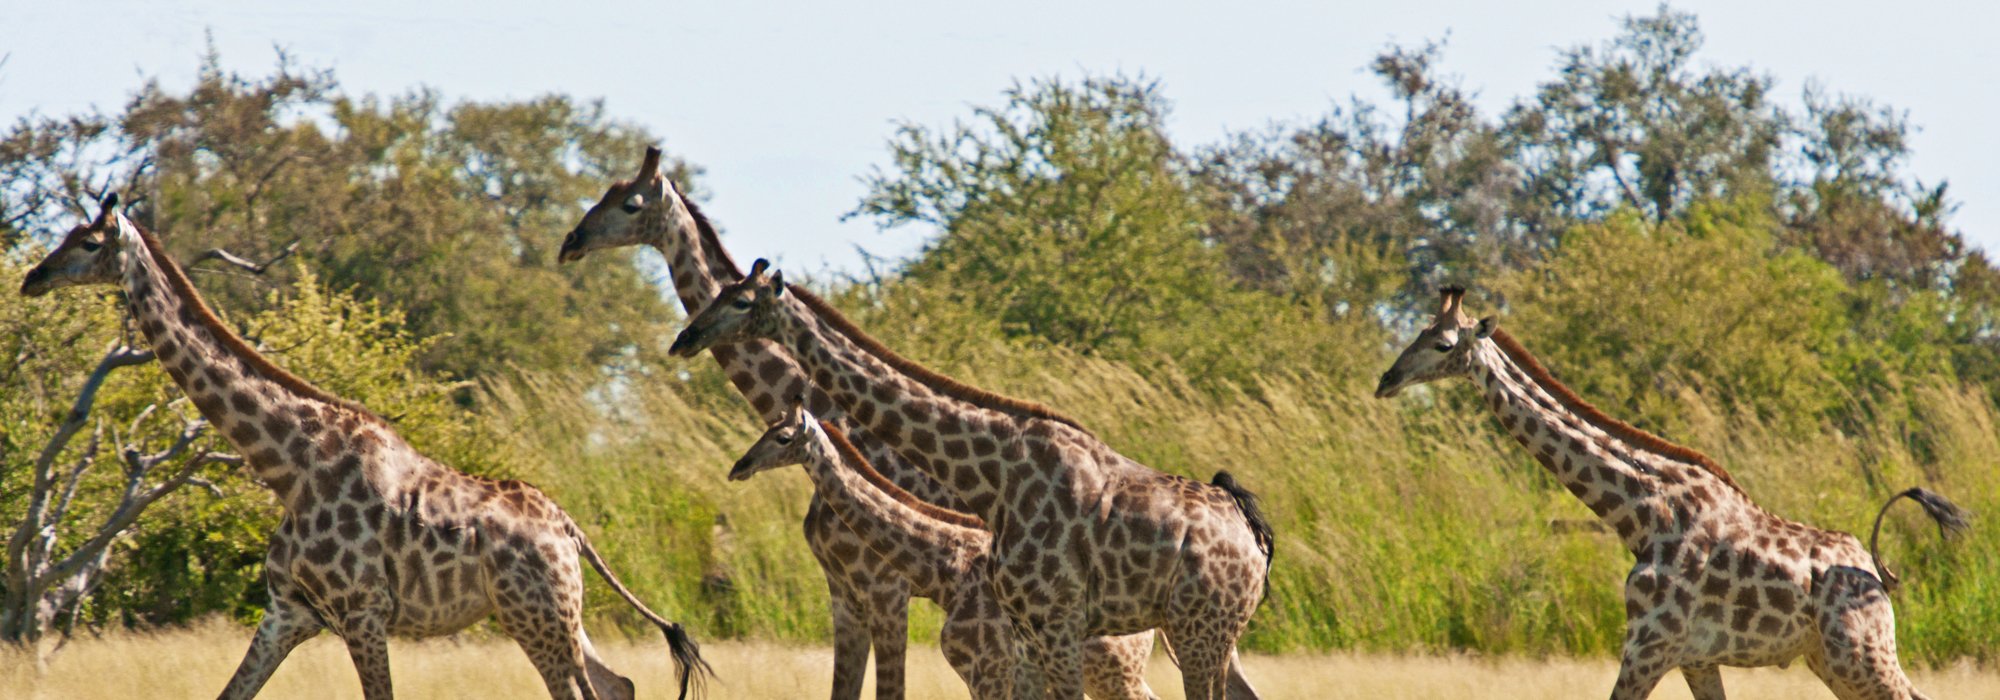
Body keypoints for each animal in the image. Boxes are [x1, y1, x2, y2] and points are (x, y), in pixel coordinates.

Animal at [21, 197, 712, 700]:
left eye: (88, 243)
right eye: (66, 234)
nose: (34, 276)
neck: (288, 467)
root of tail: (570, 529)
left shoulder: (363, 612)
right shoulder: (287, 613)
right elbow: (228, 694)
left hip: (535, 619)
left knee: (585, 693)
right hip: (560, 617)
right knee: (618, 684)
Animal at [736, 400, 1168, 700]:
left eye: (783, 438)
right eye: (766, 429)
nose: (739, 466)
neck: (946, 570)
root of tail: (1152, 623)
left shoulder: (989, 670)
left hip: (1113, 674)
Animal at [1376, 286, 1968, 700]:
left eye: (1442, 343)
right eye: (1418, 330)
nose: (1386, 379)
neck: (1640, 512)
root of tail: (1876, 572)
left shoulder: (1649, 644)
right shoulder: (1693, 657)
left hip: (1860, 653)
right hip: (1828, 657)